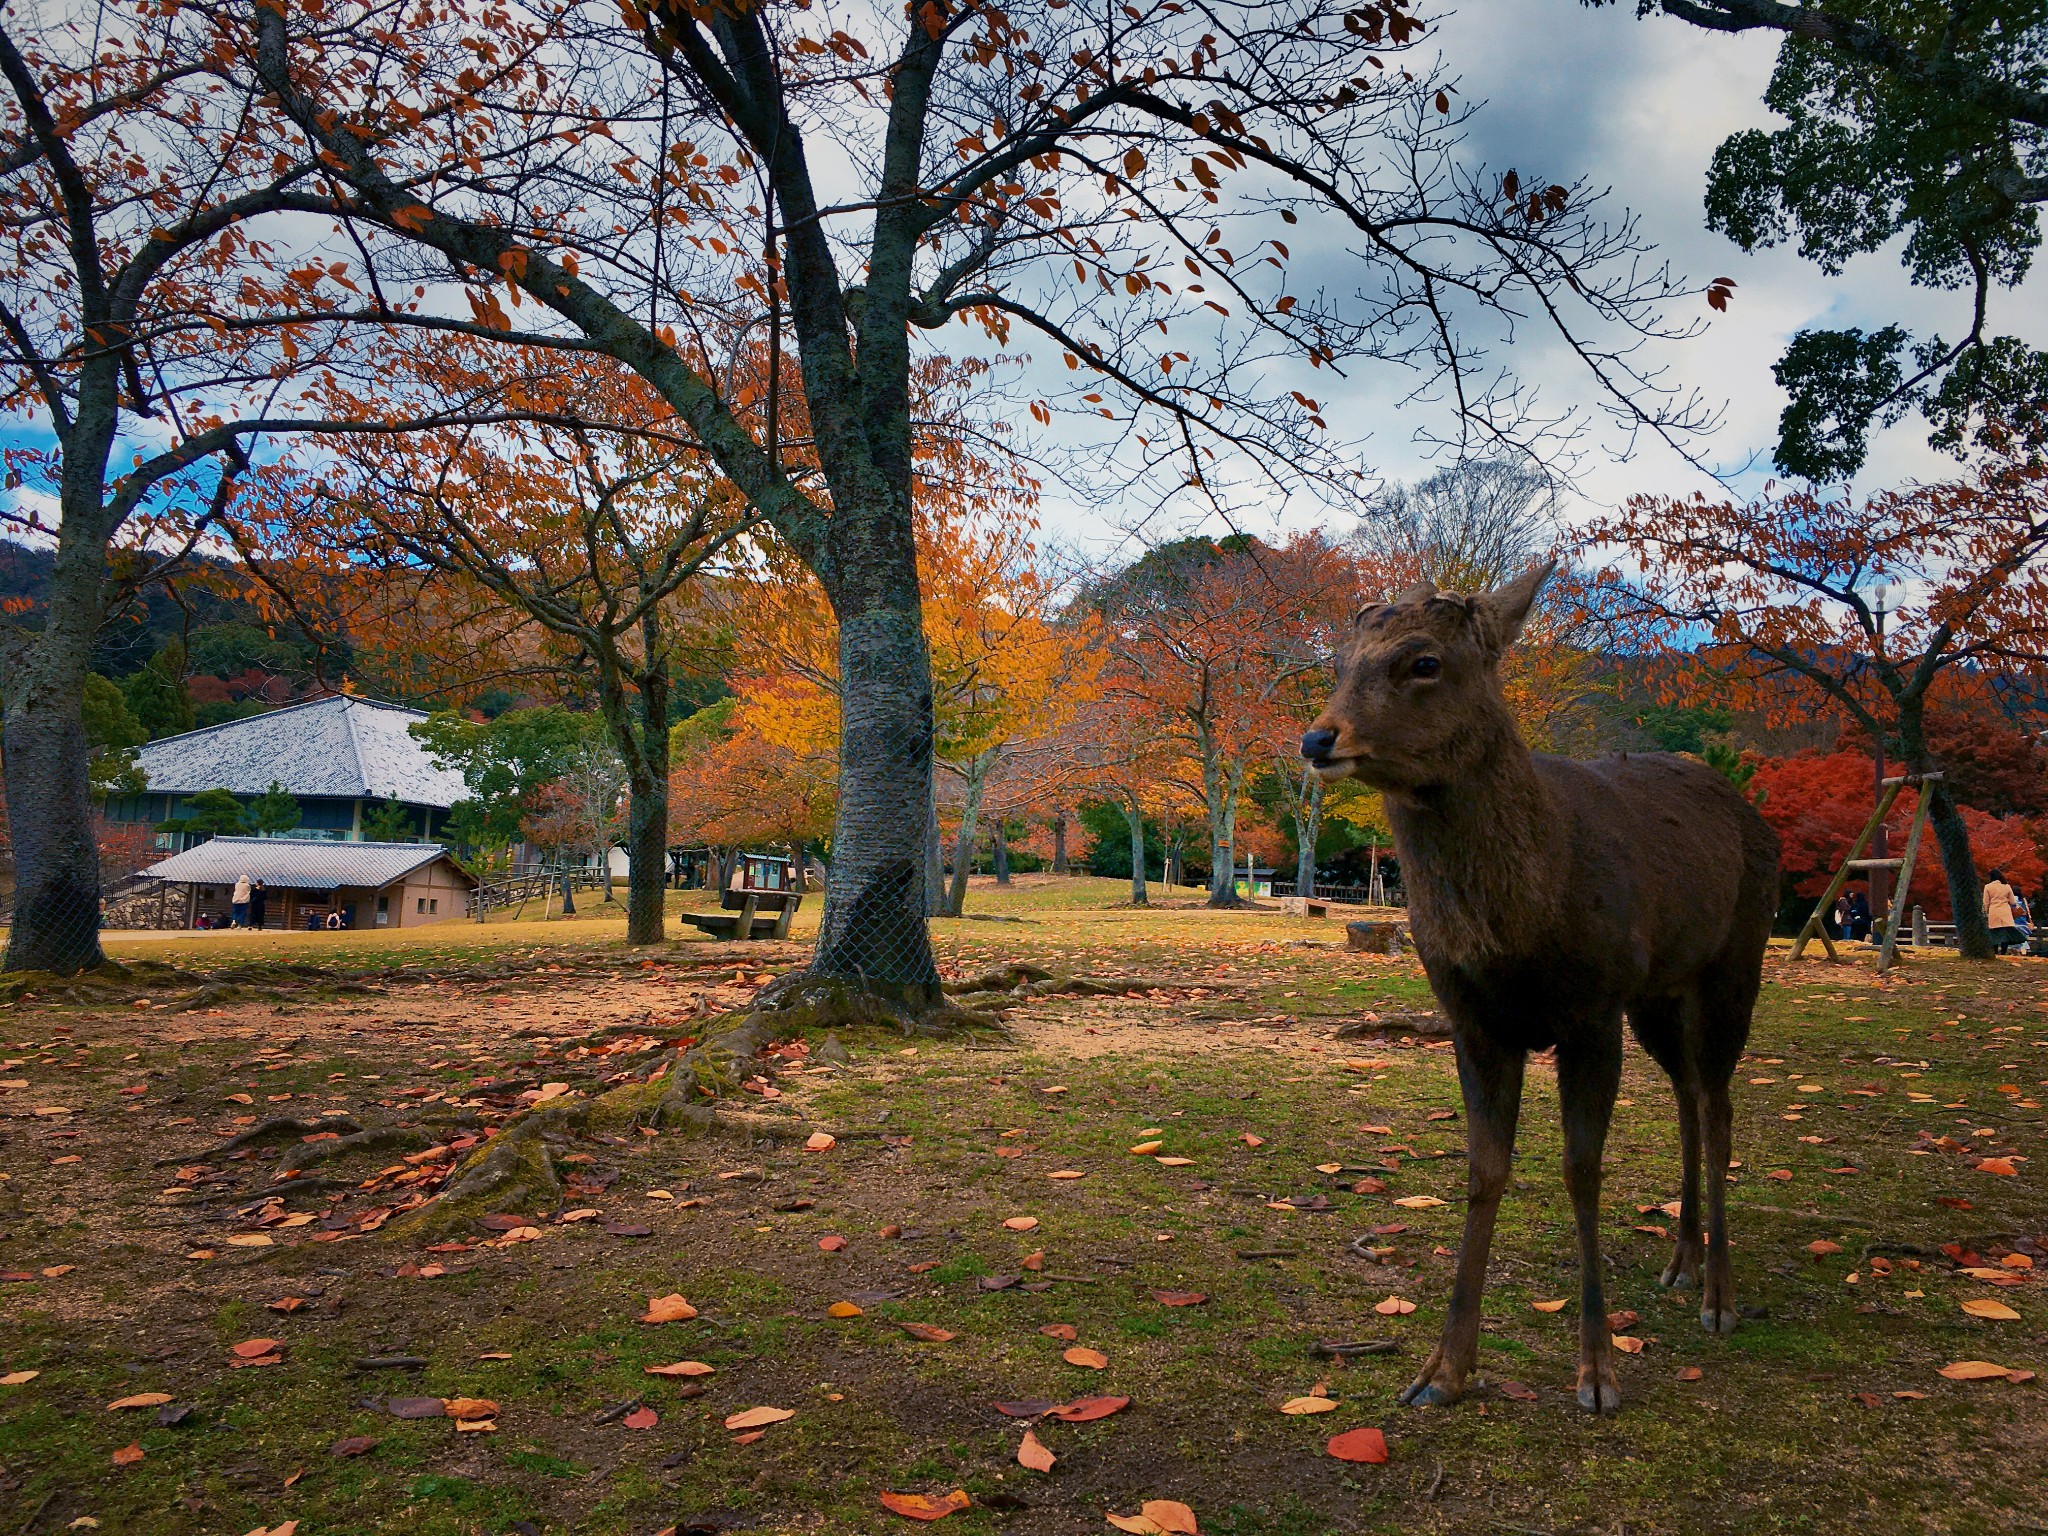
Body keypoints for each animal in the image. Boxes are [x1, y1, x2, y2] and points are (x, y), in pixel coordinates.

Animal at [1302, 565, 1785, 1417]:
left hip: (1735, 959)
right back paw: (1680, 1261)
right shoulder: (1473, 1021)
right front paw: (1441, 1370)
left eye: (1424, 662)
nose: (1319, 739)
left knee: (1721, 1107)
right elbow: (1483, 1171)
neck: (1523, 928)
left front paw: (1597, 1374)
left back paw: (1719, 1296)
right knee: (1690, 1096)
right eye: (1339, 661)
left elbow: (1580, 1171)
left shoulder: (1590, 1009)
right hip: (1656, 994)